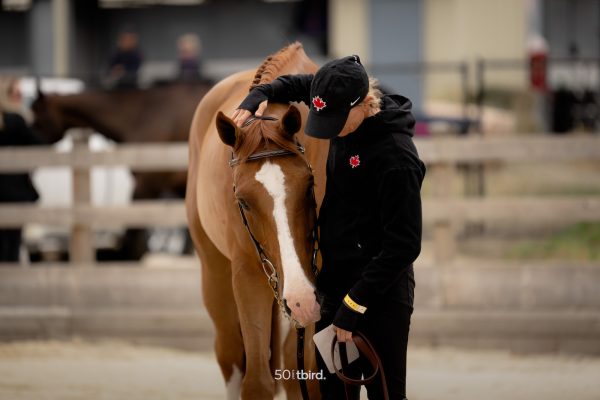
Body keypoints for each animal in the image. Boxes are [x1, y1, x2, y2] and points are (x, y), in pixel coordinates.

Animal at [186, 42, 328, 398]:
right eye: (243, 202)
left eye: (309, 186)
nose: (300, 298)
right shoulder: (248, 273)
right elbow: (257, 382)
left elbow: (306, 371)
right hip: (216, 274)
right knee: (230, 356)